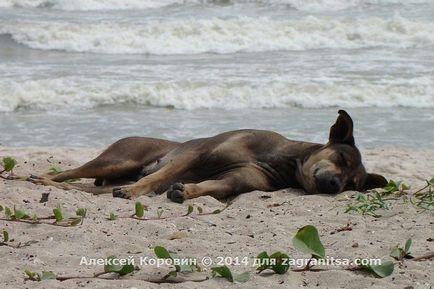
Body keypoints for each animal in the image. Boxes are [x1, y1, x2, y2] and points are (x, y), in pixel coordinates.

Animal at [30, 110, 386, 202]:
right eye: (341, 159)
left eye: (352, 185)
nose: (335, 186)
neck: (281, 161)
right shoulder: (198, 156)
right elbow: (159, 175)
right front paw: (138, 190)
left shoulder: (237, 181)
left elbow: (216, 187)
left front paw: (186, 191)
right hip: (120, 158)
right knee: (66, 173)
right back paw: (33, 175)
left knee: (78, 186)